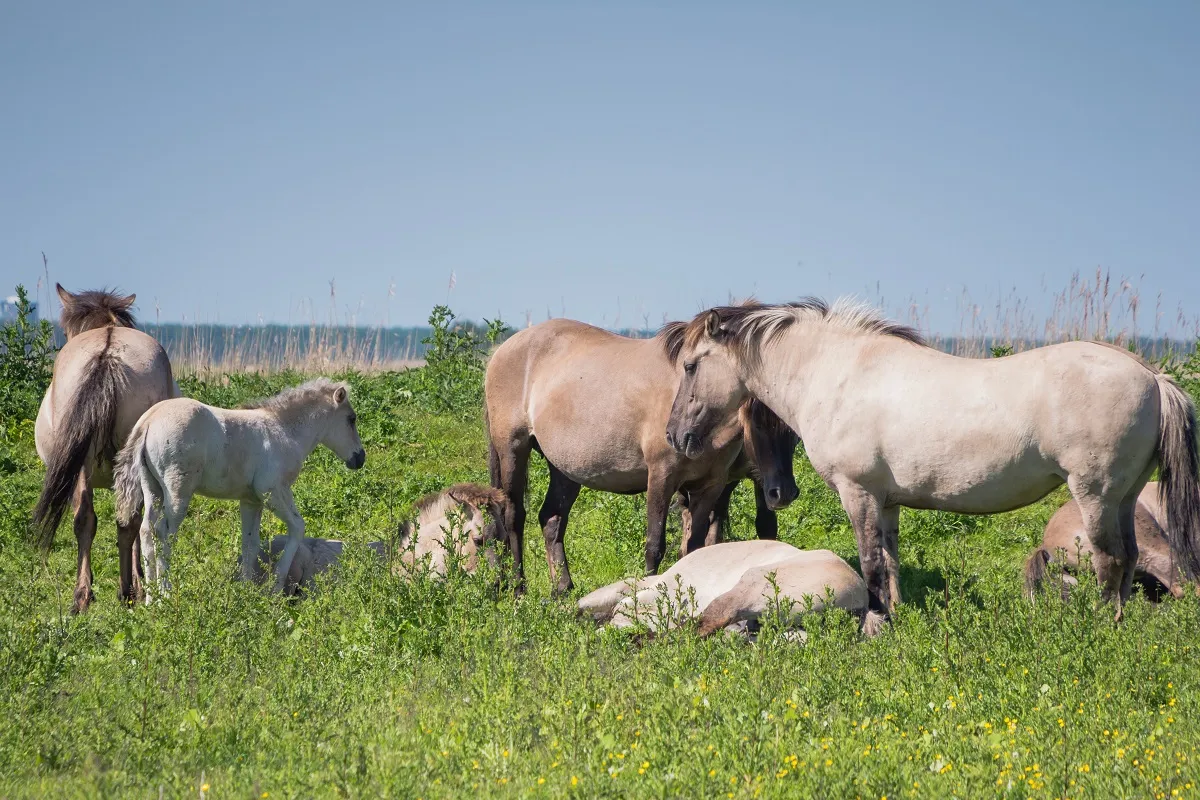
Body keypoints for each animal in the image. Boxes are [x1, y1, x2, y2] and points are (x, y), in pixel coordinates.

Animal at [113, 377, 366, 595]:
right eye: (351, 419)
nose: (359, 458)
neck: (284, 430)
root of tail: (149, 420)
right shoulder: (273, 490)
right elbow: (297, 527)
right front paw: (275, 588)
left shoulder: (251, 500)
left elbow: (250, 543)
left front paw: (245, 592)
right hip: (178, 491)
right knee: (165, 532)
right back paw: (164, 595)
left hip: (152, 489)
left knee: (147, 531)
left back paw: (150, 598)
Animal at [484, 317, 800, 596]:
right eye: (755, 423)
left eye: (795, 431)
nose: (784, 493)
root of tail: (502, 350)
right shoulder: (661, 477)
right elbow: (655, 545)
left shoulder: (710, 486)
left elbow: (696, 546)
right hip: (513, 449)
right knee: (513, 517)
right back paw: (517, 588)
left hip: (565, 469)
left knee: (551, 519)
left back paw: (562, 589)